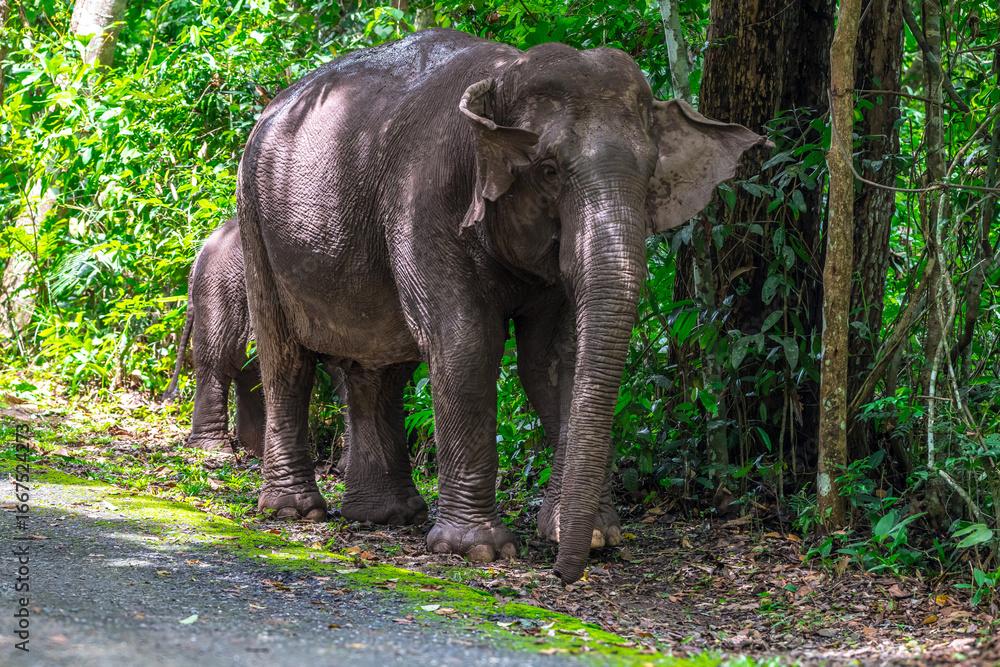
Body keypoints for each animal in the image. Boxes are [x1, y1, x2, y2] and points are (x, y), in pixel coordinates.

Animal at [237, 28, 767, 584]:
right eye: (549, 169)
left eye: (649, 175)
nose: (563, 574)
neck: (503, 75)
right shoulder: (422, 202)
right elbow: (465, 342)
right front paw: (478, 550)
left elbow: (554, 360)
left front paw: (592, 537)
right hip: (254, 221)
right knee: (286, 361)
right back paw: (295, 512)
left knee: (378, 370)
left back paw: (387, 516)